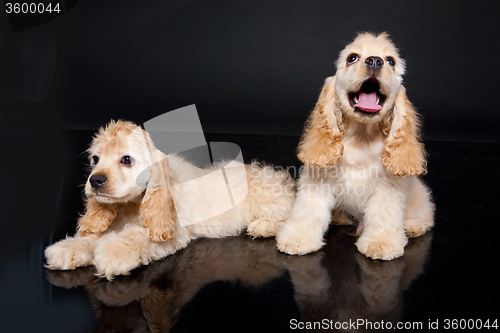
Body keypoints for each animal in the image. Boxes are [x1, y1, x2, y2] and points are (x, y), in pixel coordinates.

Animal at [45, 119, 294, 278]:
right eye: (95, 159)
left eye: (127, 159)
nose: (95, 181)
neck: (131, 206)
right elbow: (93, 235)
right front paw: (69, 248)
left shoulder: (173, 234)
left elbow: (138, 235)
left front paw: (113, 253)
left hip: (267, 197)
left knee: (285, 215)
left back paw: (263, 226)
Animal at [276, 31, 436, 260]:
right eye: (352, 58)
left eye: (391, 61)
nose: (375, 60)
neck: (362, 135)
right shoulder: (319, 179)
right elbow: (308, 210)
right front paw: (298, 238)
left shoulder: (389, 186)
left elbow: (383, 214)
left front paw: (381, 243)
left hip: (418, 194)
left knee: (425, 212)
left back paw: (413, 226)